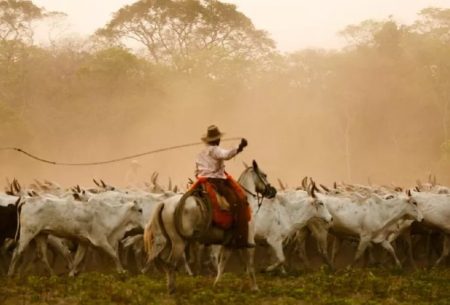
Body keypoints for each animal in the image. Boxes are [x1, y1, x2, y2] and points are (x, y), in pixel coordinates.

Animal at [144, 159, 278, 292]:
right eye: (264, 175)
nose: (273, 191)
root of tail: (164, 204)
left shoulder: (228, 244)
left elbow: (222, 264)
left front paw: (216, 284)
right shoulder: (248, 241)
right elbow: (250, 265)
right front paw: (255, 288)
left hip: (168, 242)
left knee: (164, 262)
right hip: (178, 242)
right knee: (171, 263)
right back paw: (172, 290)